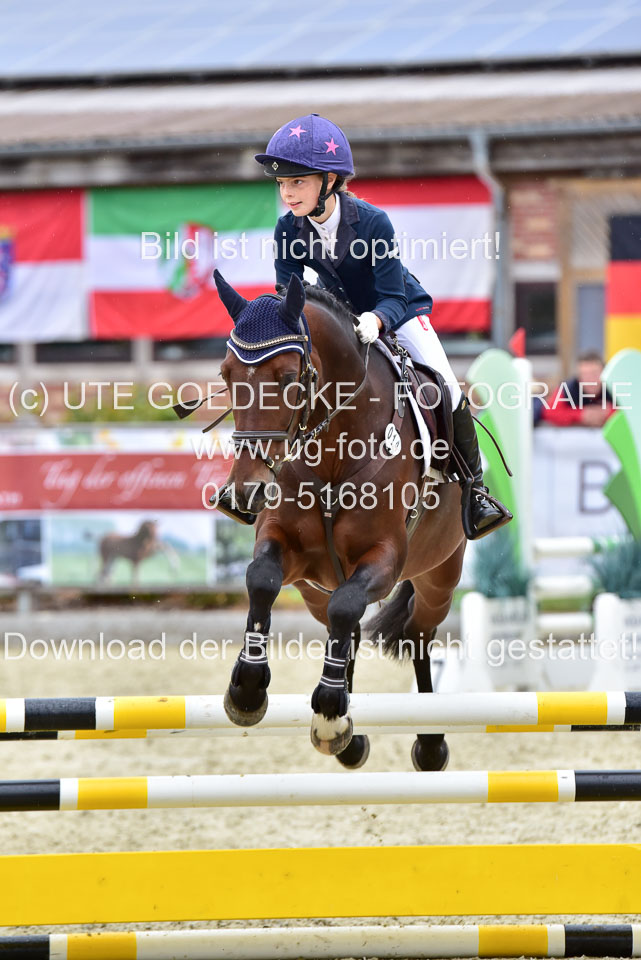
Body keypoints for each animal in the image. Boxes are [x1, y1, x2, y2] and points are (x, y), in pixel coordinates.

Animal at [212, 270, 466, 771]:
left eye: (288, 378)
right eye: (227, 375)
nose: (248, 490)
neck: (333, 449)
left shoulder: (386, 557)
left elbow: (348, 608)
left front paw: (329, 714)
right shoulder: (285, 545)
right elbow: (262, 579)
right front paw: (247, 690)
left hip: (439, 575)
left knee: (415, 634)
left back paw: (429, 744)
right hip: (314, 590)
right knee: (341, 625)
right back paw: (352, 739)